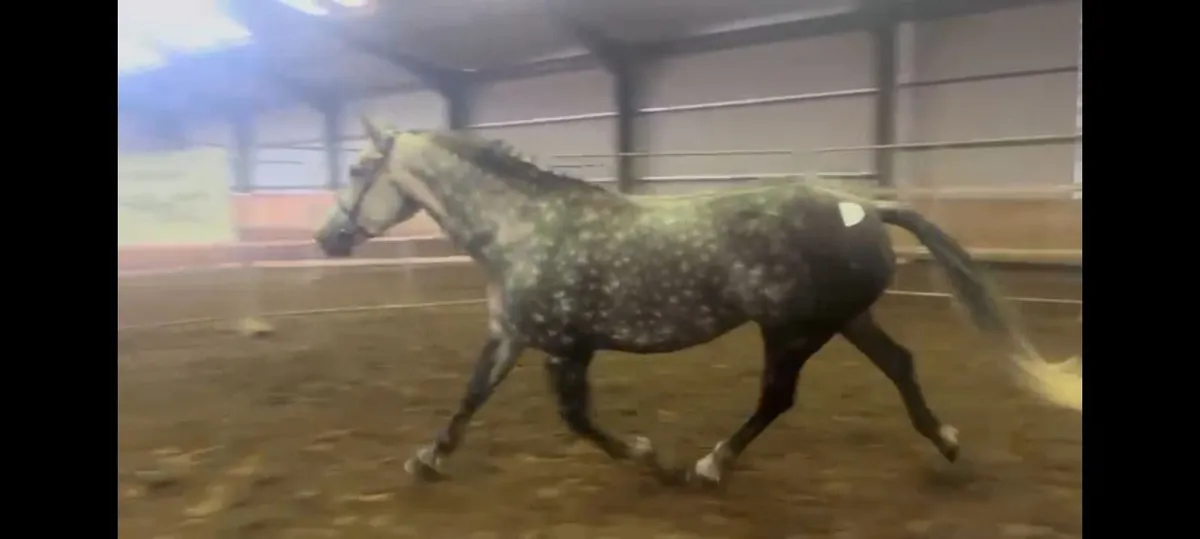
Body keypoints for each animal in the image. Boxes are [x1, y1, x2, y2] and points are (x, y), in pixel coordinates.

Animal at [314, 117, 1074, 486]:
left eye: (358, 167)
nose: (327, 238)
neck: (521, 228)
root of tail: (866, 205)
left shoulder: (566, 347)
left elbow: (579, 421)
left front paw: (649, 456)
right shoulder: (511, 333)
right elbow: (470, 396)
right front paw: (427, 460)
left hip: (791, 329)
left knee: (777, 398)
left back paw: (711, 464)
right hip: (845, 317)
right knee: (901, 364)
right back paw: (946, 441)